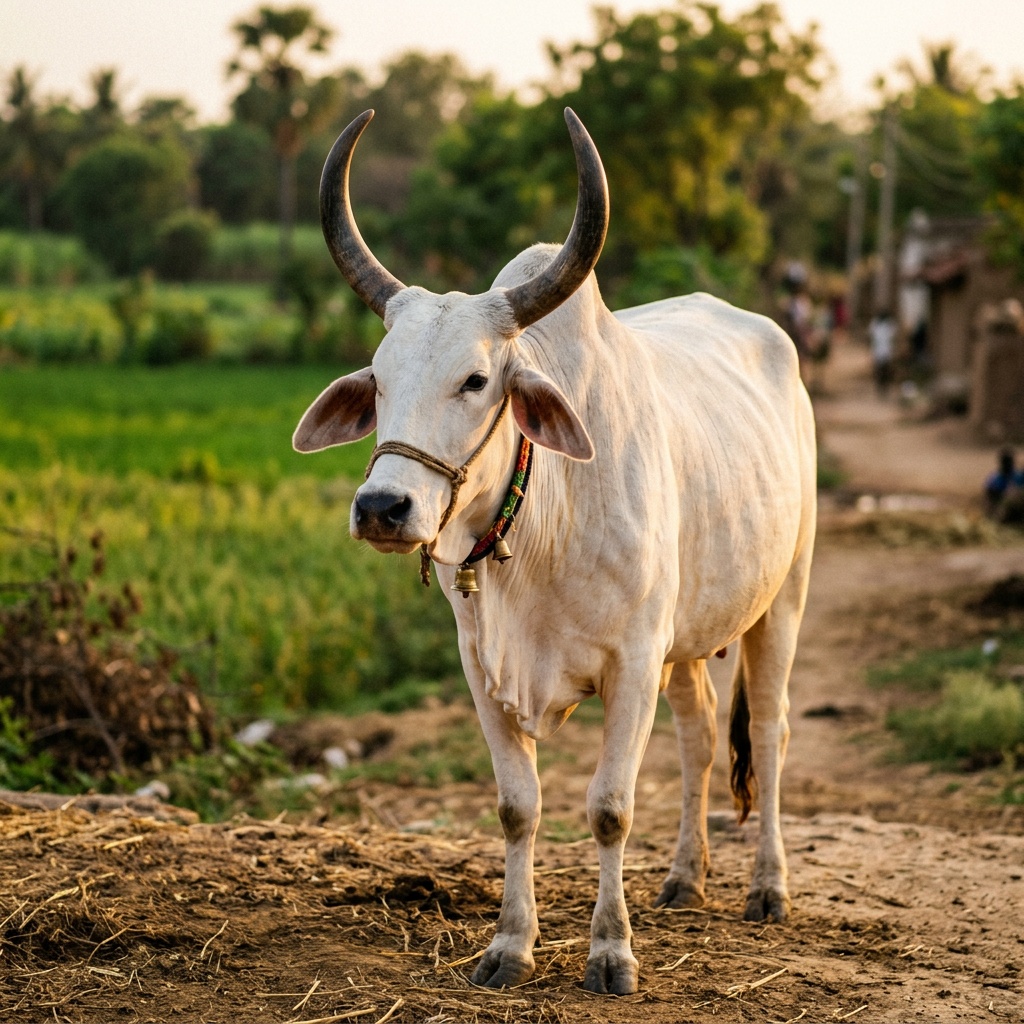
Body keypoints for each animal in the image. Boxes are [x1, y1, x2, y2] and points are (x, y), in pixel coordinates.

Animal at [293, 108, 816, 995]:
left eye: (476, 380)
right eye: (380, 377)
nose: (384, 508)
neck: (543, 527)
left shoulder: (632, 664)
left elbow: (609, 808)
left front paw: (611, 952)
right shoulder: (484, 667)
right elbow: (518, 806)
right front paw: (510, 944)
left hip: (783, 597)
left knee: (773, 732)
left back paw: (768, 888)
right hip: (686, 637)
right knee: (701, 731)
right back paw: (685, 878)